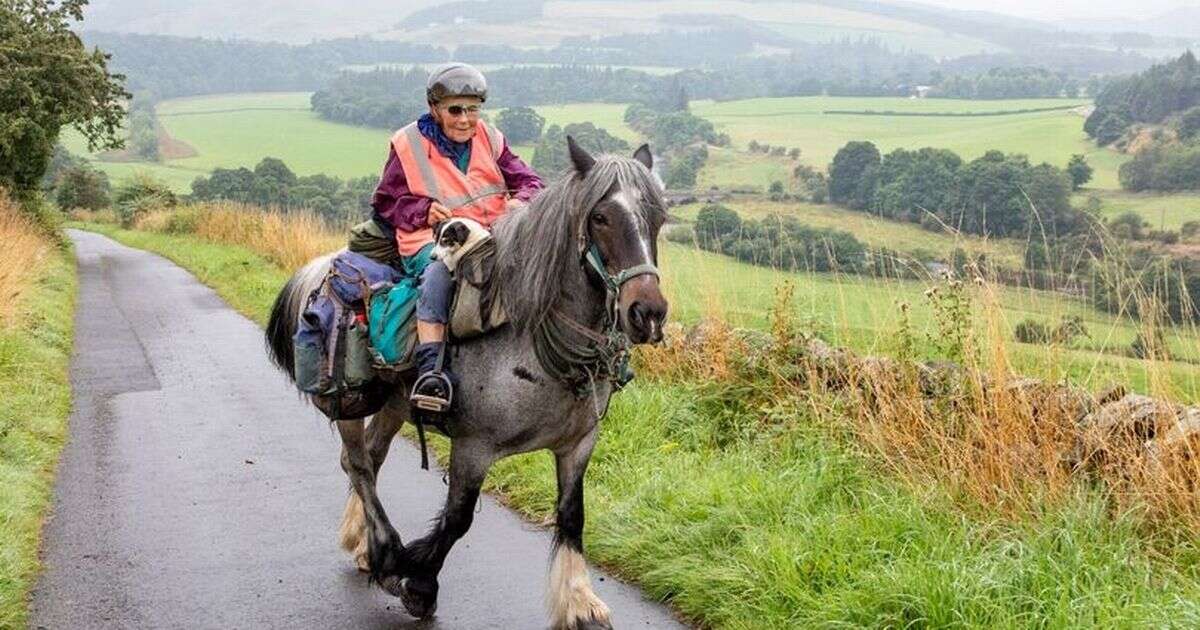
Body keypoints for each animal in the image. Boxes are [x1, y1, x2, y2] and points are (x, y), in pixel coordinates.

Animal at [264, 138, 672, 628]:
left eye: (658, 217)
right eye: (600, 217)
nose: (647, 313)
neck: (530, 340)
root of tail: (325, 267)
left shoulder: (578, 444)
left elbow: (573, 515)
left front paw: (579, 601)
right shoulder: (473, 447)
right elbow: (457, 518)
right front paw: (419, 584)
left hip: (395, 404)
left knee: (370, 459)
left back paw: (364, 547)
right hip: (349, 401)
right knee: (358, 465)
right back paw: (386, 553)